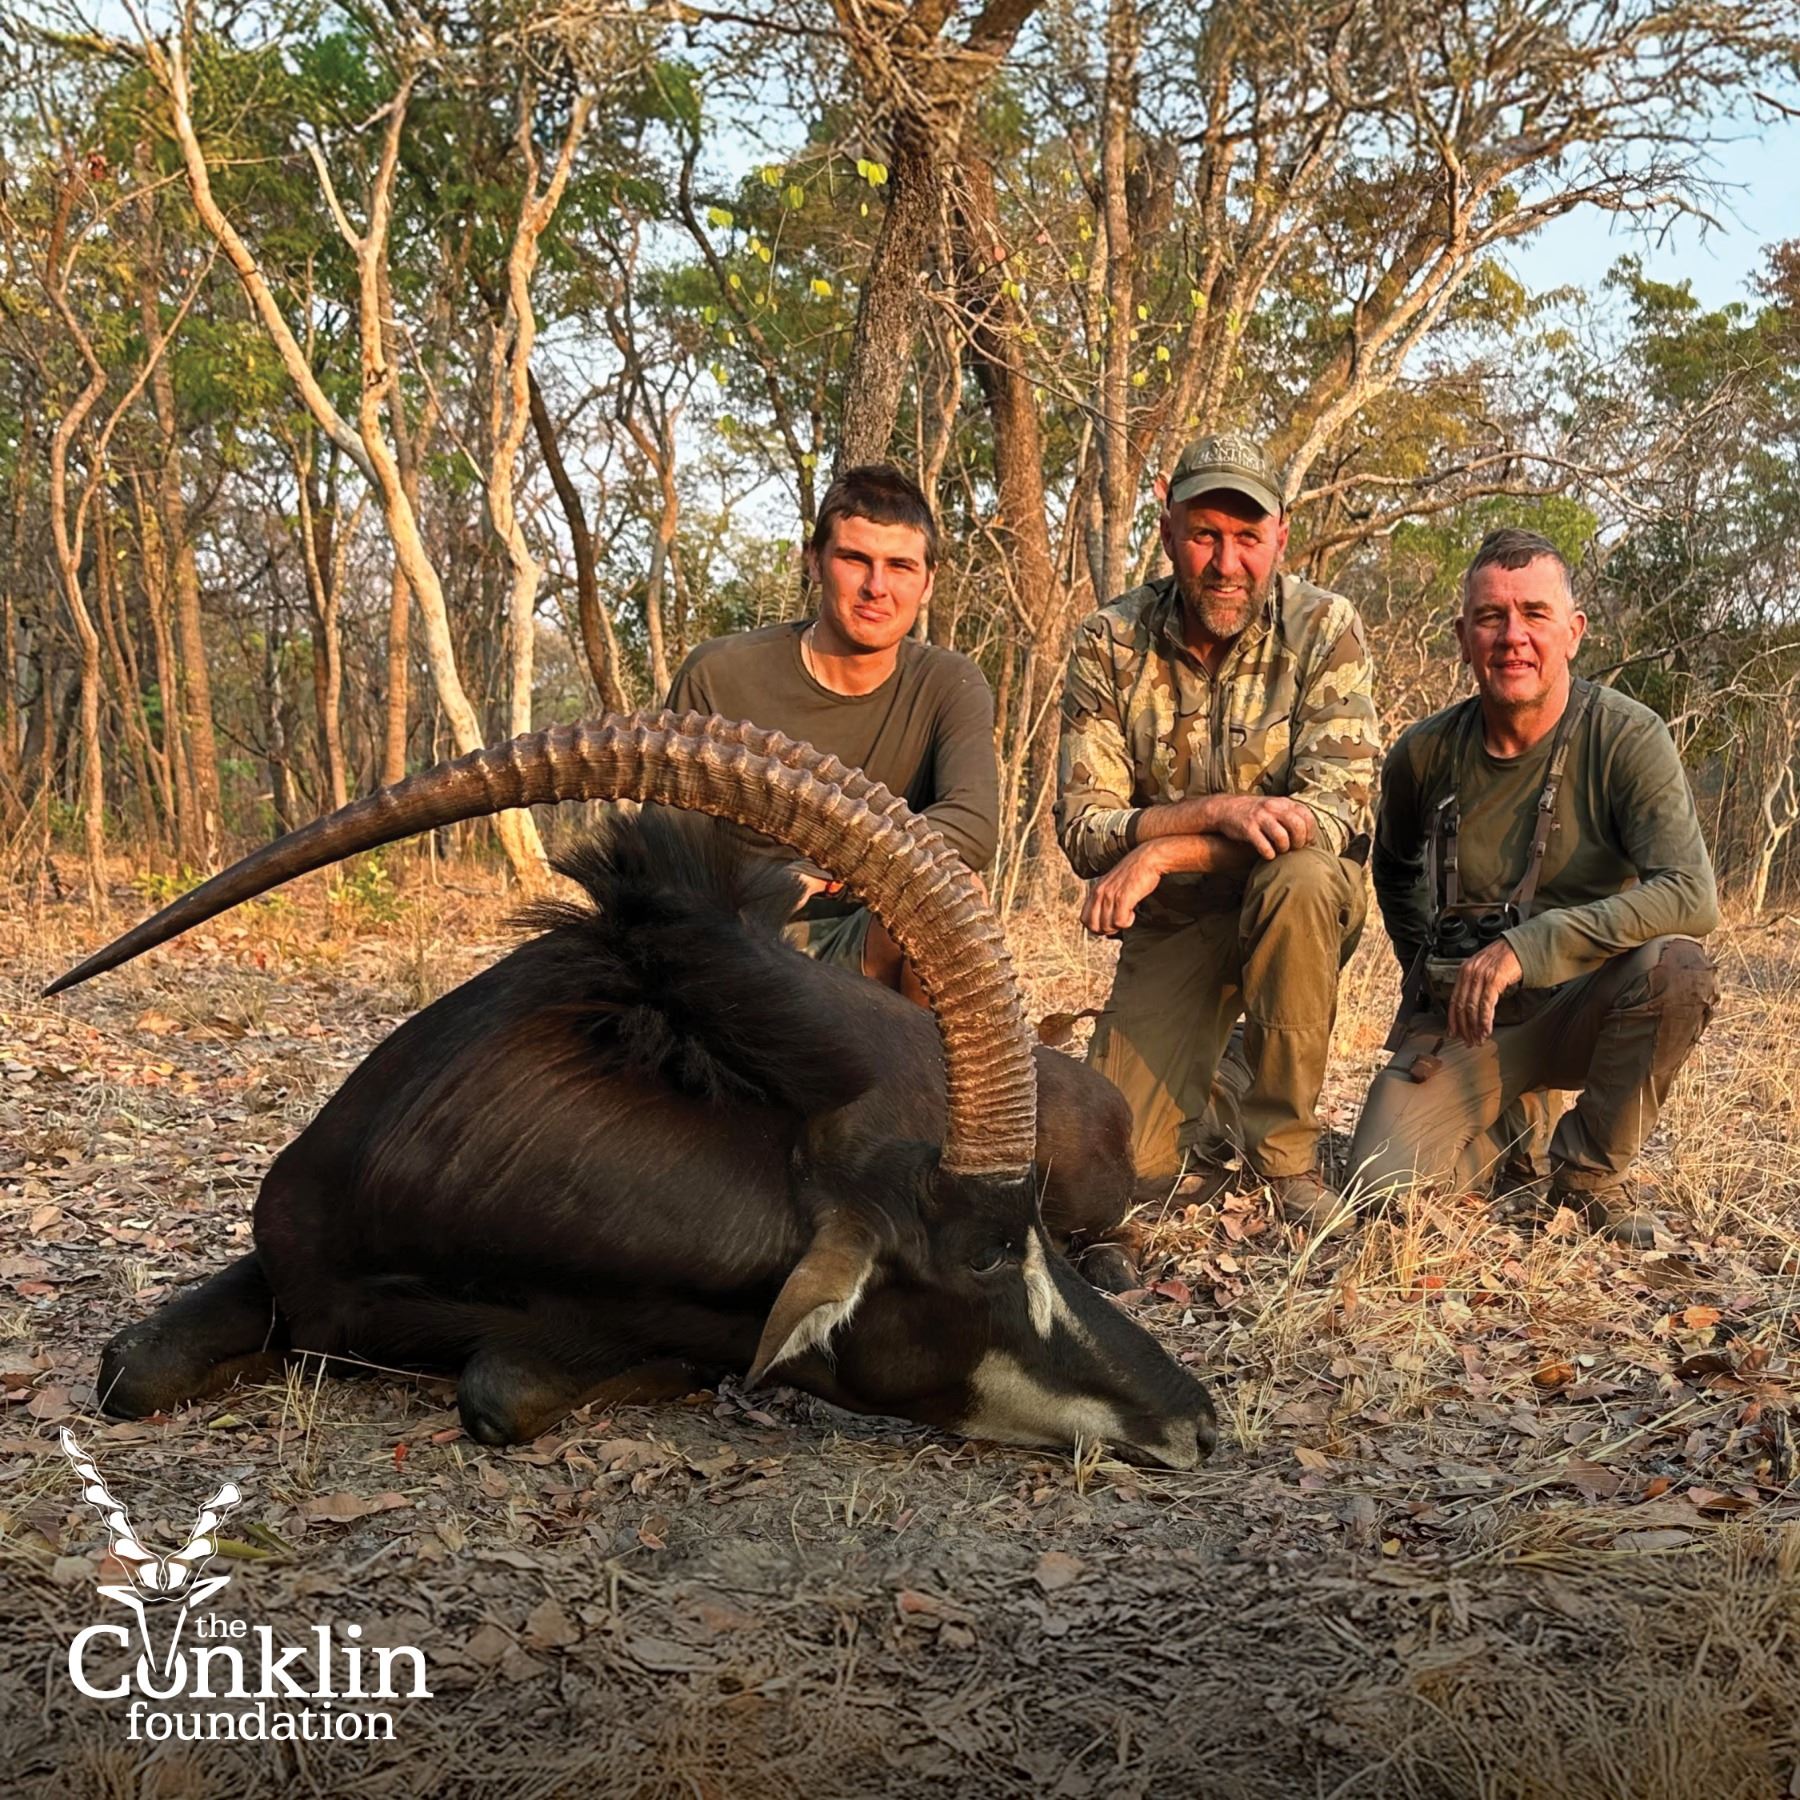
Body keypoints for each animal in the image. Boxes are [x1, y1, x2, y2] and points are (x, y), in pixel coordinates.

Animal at [48, 714, 1216, 1468]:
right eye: (982, 1256)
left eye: (1025, 1238)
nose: (1198, 1420)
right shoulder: (289, 1259)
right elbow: (127, 1367)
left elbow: (501, 1390)